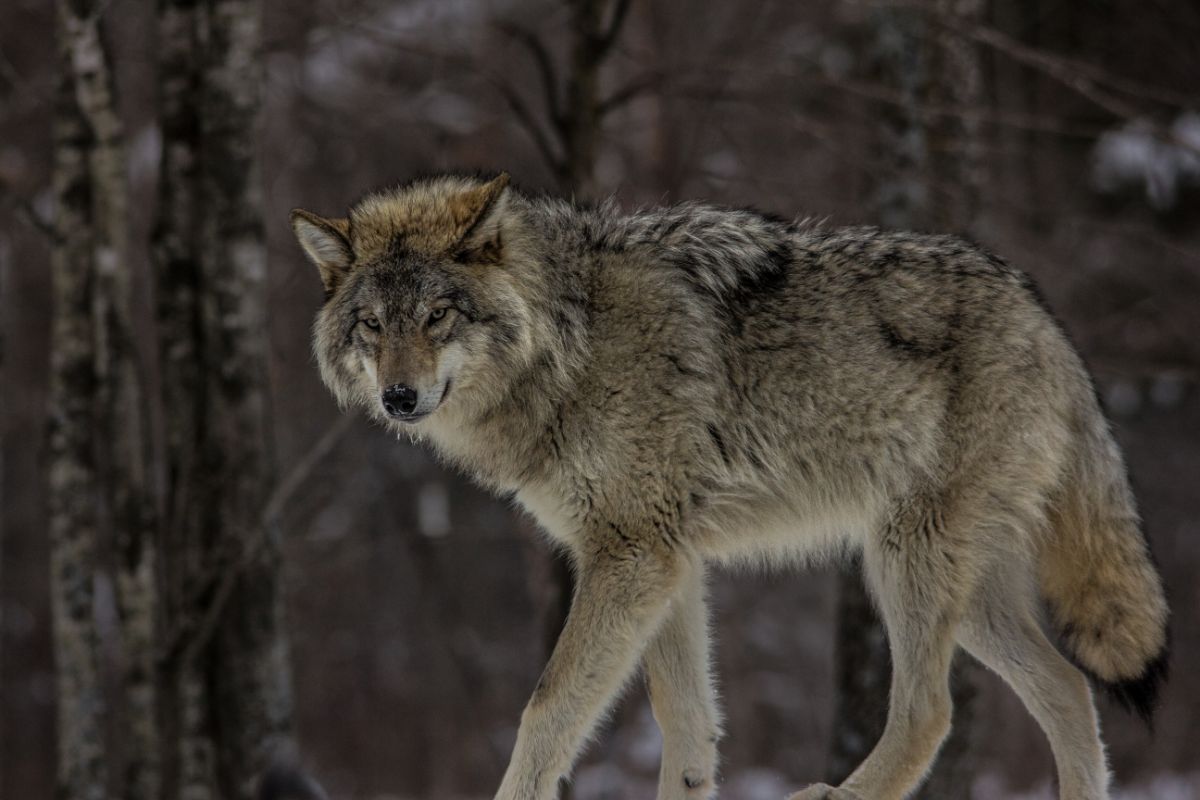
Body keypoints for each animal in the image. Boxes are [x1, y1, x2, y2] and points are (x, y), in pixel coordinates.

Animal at [292, 173, 1171, 800]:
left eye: (438, 315)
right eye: (373, 324)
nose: (398, 397)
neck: (572, 343)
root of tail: (1048, 320)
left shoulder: (632, 557)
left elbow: (547, 706)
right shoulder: (667, 562)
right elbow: (685, 728)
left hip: (903, 562)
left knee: (932, 711)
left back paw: (834, 798)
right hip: (969, 596)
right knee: (1069, 691)